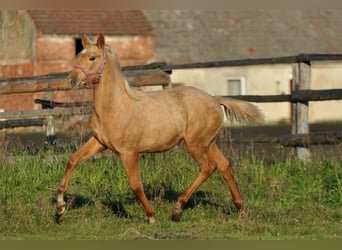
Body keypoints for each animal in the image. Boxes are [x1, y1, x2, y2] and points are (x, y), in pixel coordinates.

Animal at [56, 33, 264, 225]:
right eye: (78, 56)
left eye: (92, 58)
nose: (71, 81)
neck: (114, 106)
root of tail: (214, 99)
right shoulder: (99, 142)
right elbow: (72, 160)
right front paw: (60, 207)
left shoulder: (128, 152)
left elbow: (136, 185)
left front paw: (151, 216)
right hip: (208, 142)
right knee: (224, 166)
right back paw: (241, 209)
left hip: (195, 144)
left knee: (208, 167)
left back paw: (177, 210)